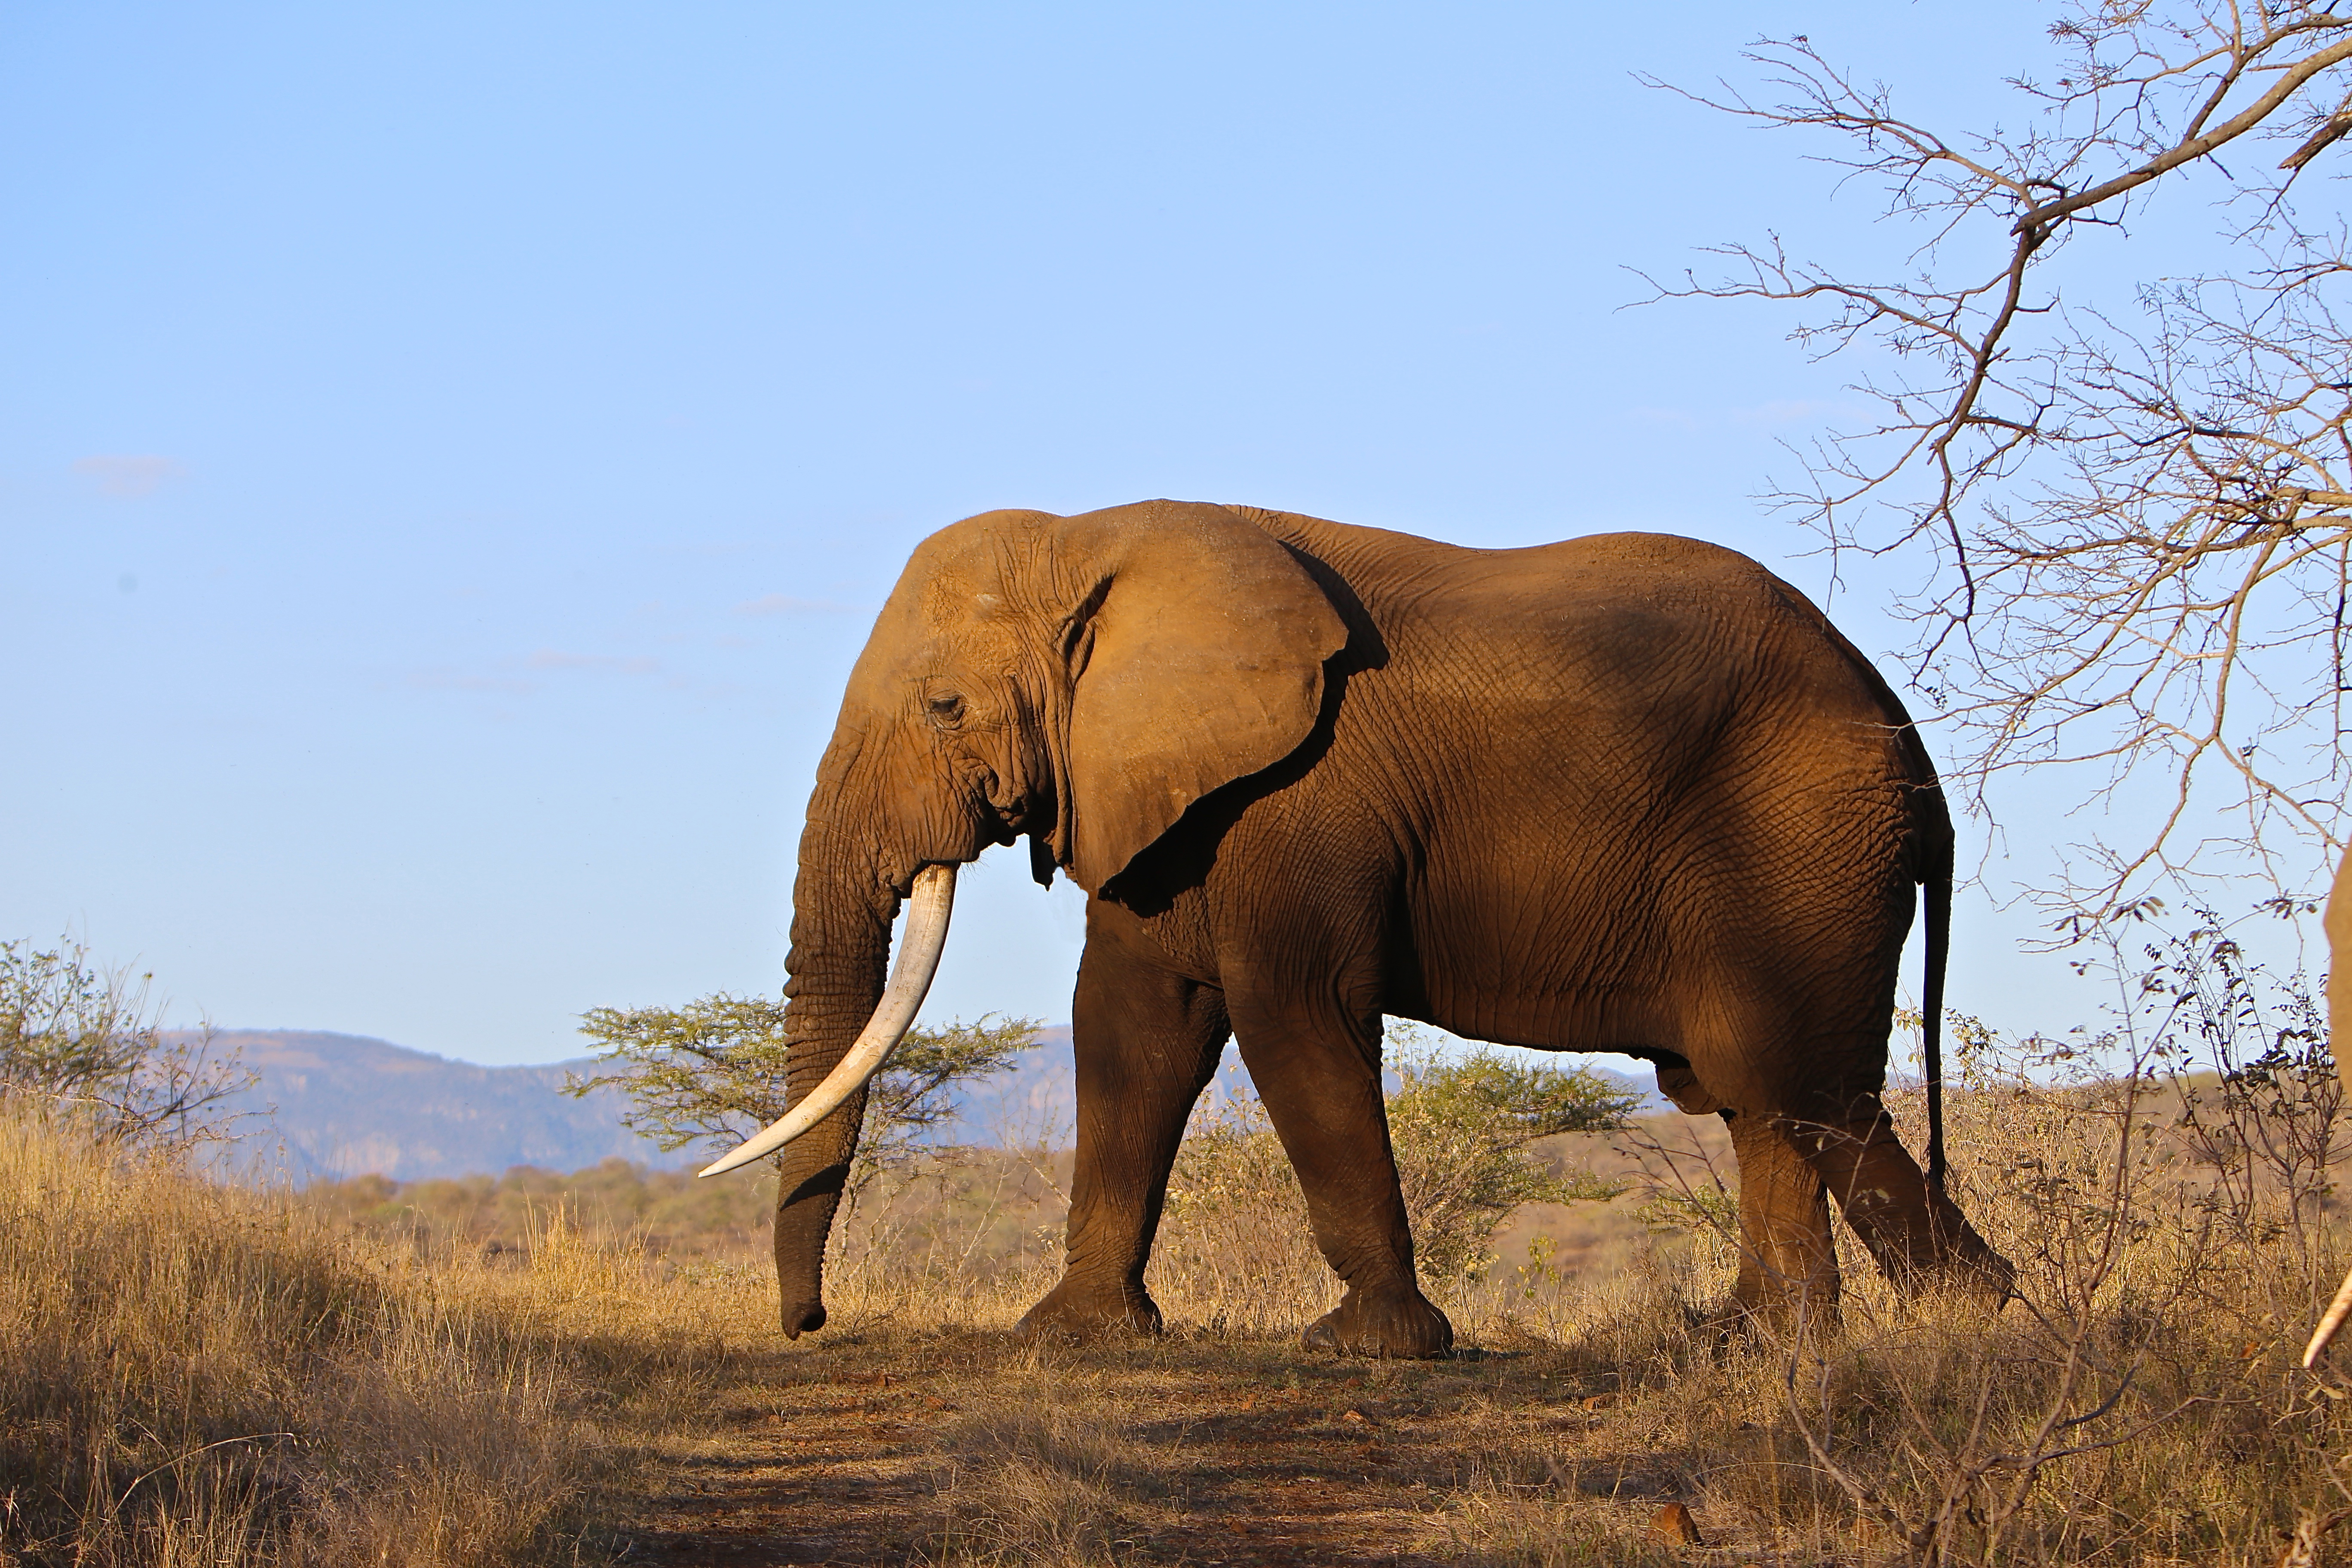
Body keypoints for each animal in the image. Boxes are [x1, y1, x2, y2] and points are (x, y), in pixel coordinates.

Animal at [696, 496, 2004, 1354]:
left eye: (944, 706)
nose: (809, 1324)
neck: (1095, 540)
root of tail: (1904, 729)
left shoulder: (1297, 795)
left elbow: (1294, 1018)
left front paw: (1366, 1348)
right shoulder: (1169, 796)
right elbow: (1133, 1026)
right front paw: (1072, 1336)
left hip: (1798, 841)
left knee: (1796, 1085)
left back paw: (1975, 1323)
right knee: (1758, 1098)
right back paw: (1764, 1345)